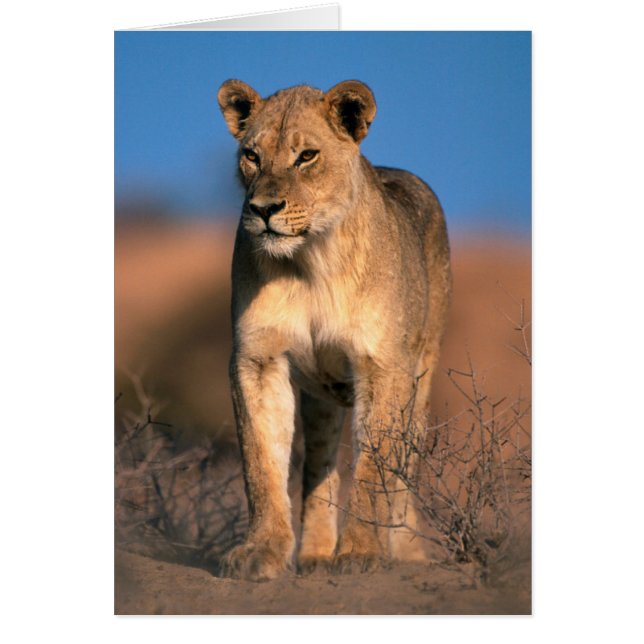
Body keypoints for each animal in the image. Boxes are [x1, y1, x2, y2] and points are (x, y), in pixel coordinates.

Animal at [216, 79, 451, 581]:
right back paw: (315, 554)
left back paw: (403, 550)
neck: (310, 262)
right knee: (319, 465)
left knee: (404, 466)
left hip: (422, 375)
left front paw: (362, 552)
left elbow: (375, 467)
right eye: (251, 155)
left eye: (307, 156)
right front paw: (262, 551)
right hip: (322, 398)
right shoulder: (258, 359)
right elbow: (261, 461)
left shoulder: (384, 366)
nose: (263, 209)